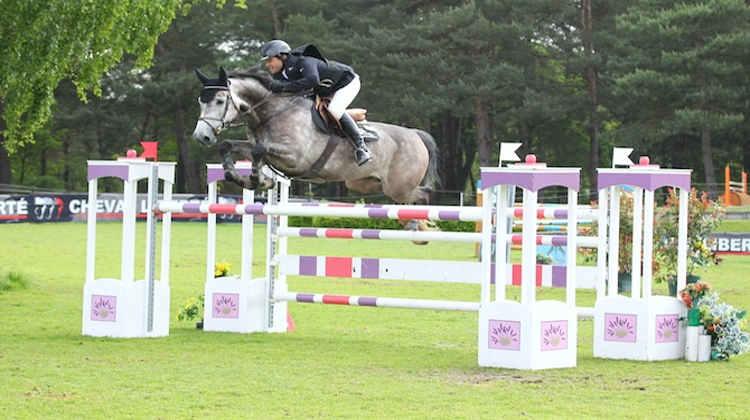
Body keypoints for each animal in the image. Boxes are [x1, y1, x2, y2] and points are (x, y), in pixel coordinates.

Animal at [191, 67, 444, 235]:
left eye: (220, 100)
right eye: (200, 102)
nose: (201, 137)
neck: (271, 112)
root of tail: (415, 135)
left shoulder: (295, 158)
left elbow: (259, 150)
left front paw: (257, 179)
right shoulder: (263, 150)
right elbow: (231, 146)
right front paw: (251, 179)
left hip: (398, 187)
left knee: (423, 193)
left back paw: (415, 226)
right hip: (364, 183)